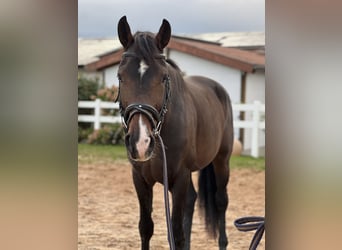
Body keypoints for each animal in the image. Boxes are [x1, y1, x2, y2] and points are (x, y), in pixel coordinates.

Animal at [116, 16, 234, 250]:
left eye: (163, 77)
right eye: (120, 77)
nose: (141, 142)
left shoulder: (179, 177)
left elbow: (176, 232)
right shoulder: (140, 179)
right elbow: (146, 227)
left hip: (221, 160)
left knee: (220, 200)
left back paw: (223, 242)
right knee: (192, 200)